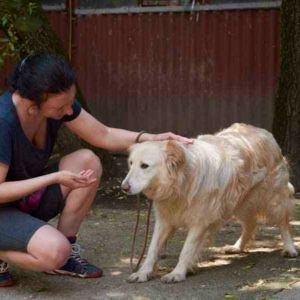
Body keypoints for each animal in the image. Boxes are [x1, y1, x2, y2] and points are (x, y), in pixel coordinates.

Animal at [121, 123, 298, 282]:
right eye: (131, 163)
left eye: (145, 166)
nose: (123, 187)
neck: (182, 182)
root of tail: (262, 131)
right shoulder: (164, 220)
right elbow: (152, 249)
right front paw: (143, 272)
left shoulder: (199, 222)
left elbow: (186, 250)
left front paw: (177, 273)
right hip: (240, 203)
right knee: (250, 224)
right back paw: (237, 247)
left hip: (273, 200)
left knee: (283, 223)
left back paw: (289, 248)